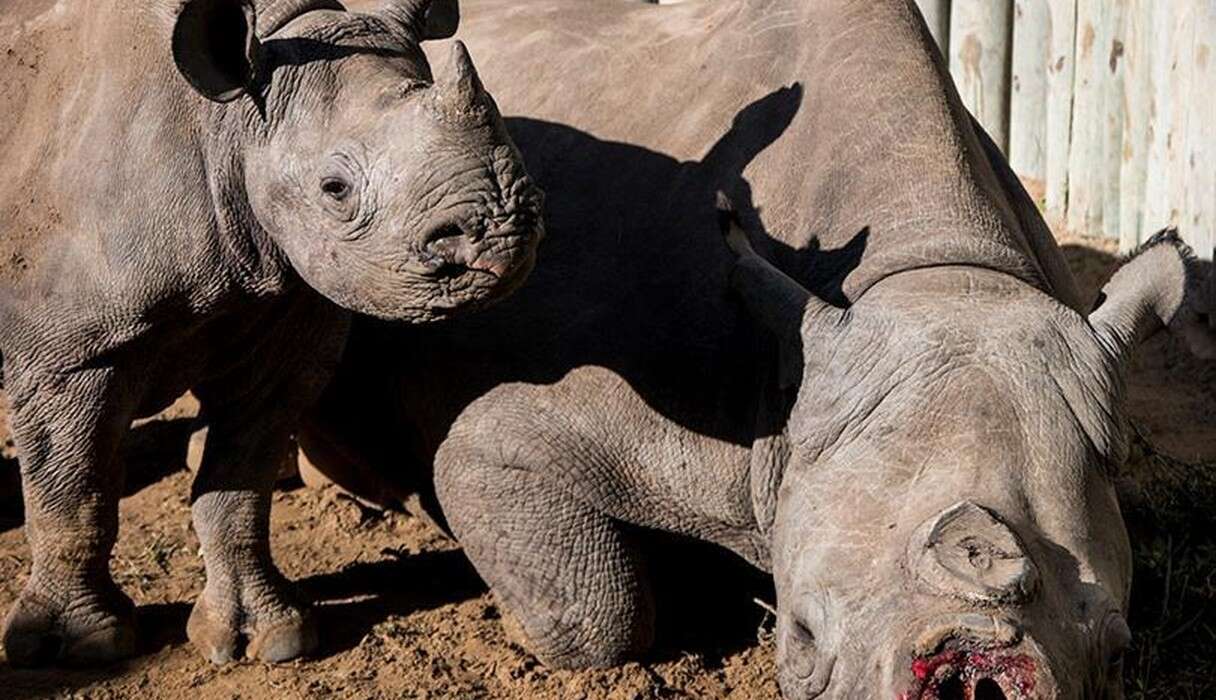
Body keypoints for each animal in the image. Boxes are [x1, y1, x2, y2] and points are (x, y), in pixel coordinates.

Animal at [0, 0, 542, 665]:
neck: (229, 125)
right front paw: (78, 648)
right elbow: (74, 492)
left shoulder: (284, 320)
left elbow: (239, 485)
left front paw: (267, 639)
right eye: (335, 189)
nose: (504, 236)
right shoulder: (72, 350)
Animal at [306, 0, 1216, 695]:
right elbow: (596, 614)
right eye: (802, 636)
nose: (979, 676)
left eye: (1121, 654)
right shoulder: (525, 431)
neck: (938, 269)